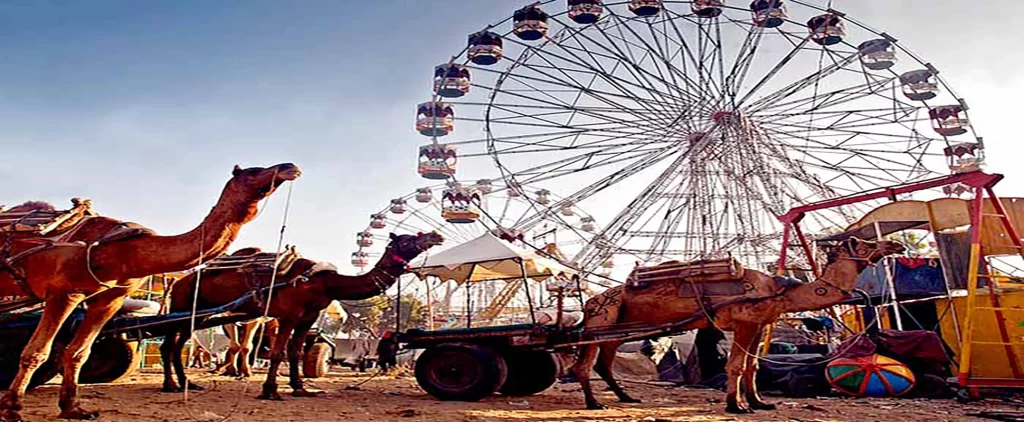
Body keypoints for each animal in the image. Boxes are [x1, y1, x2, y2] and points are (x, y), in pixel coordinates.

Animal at [0, 162, 301, 419]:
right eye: (254, 171)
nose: (290, 167)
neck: (123, 252)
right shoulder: (64, 292)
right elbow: (37, 352)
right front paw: (12, 408)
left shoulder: (109, 299)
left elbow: (78, 353)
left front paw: (73, 408)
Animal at [160, 230, 444, 399]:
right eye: (406, 239)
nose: (436, 235)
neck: (324, 282)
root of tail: (176, 283)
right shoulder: (289, 313)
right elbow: (278, 352)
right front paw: (270, 391)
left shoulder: (308, 317)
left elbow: (295, 351)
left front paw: (300, 388)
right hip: (183, 306)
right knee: (168, 345)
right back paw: (171, 385)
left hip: (198, 315)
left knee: (177, 345)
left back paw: (186, 384)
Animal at [573, 238, 909, 413]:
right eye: (862, 243)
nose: (897, 244)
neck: (778, 291)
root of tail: (590, 301)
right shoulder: (744, 322)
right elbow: (735, 365)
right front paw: (736, 406)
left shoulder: (759, 324)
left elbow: (753, 366)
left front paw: (760, 402)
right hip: (603, 318)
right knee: (584, 363)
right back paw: (594, 403)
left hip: (619, 328)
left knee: (603, 362)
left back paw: (626, 397)